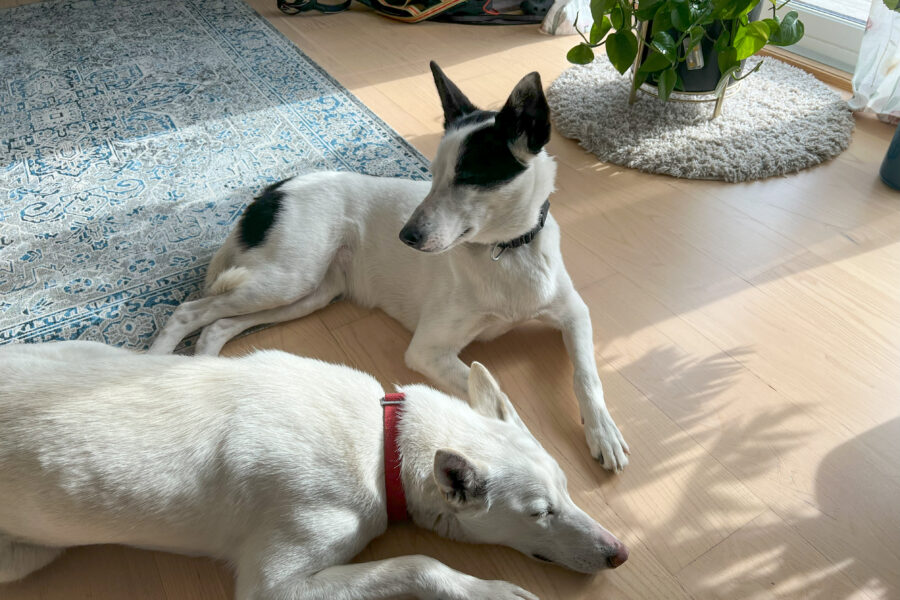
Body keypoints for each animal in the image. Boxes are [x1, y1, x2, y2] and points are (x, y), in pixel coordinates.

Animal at [0, 340, 628, 596]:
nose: (620, 553)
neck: (383, 445)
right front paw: (489, 591)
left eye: (567, 490)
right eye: (540, 514)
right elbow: (420, 563)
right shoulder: (274, 586)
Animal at [146, 62, 624, 474]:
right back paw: (150, 367)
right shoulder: (428, 350)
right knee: (188, 312)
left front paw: (603, 432)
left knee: (217, 325)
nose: (406, 236)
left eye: (468, 176)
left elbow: (587, 376)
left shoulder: (574, 313)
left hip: (309, 294)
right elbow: (502, 401)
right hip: (287, 278)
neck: (506, 251)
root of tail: (276, 188)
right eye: (432, 174)